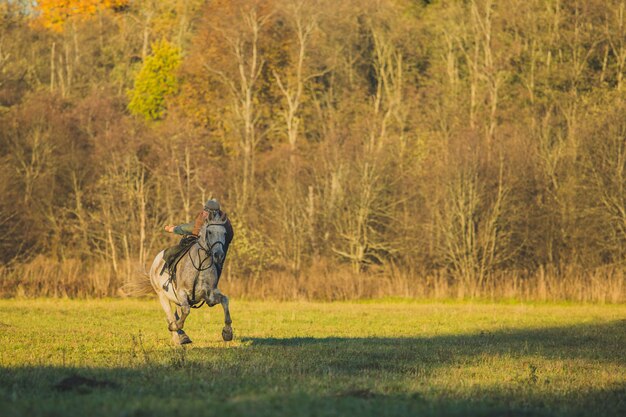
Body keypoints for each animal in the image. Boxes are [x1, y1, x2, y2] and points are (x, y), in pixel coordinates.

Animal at [146, 213, 232, 342]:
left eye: (225, 233)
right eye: (210, 232)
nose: (219, 255)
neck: (200, 264)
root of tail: (156, 261)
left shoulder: (210, 294)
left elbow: (225, 300)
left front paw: (227, 332)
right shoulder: (182, 293)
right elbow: (185, 311)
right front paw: (174, 327)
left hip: (176, 299)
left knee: (176, 314)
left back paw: (182, 336)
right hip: (162, 296)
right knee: (170, 316)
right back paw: (178, 338)